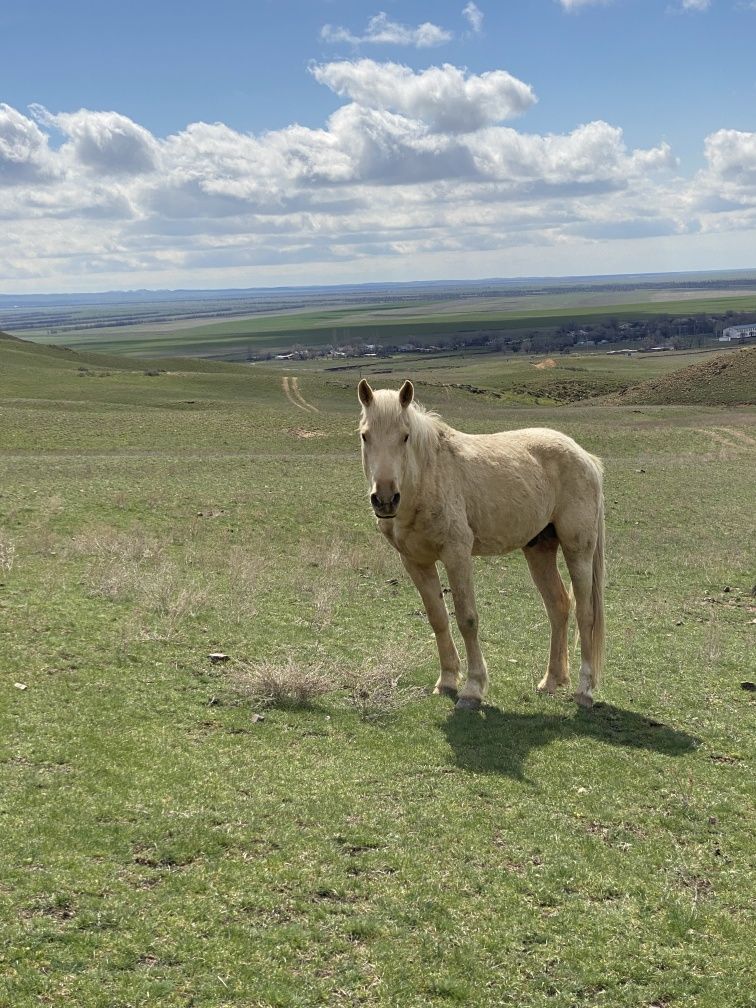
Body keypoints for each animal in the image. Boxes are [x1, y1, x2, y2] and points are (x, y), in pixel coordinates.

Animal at [358, 379, 608, 709]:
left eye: (405, 436)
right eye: (365, 435)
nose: (385, 499)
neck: (427, 477)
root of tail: (586, 457)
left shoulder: (457, 555)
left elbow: (467, 618)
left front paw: (473, 688)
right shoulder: (415, 562)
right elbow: (438, 618)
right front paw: (447, 680)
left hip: (578, 549)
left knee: (585, 613)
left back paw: (584, 689)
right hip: (539, 549)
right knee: (558, 606)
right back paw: (551, 680)